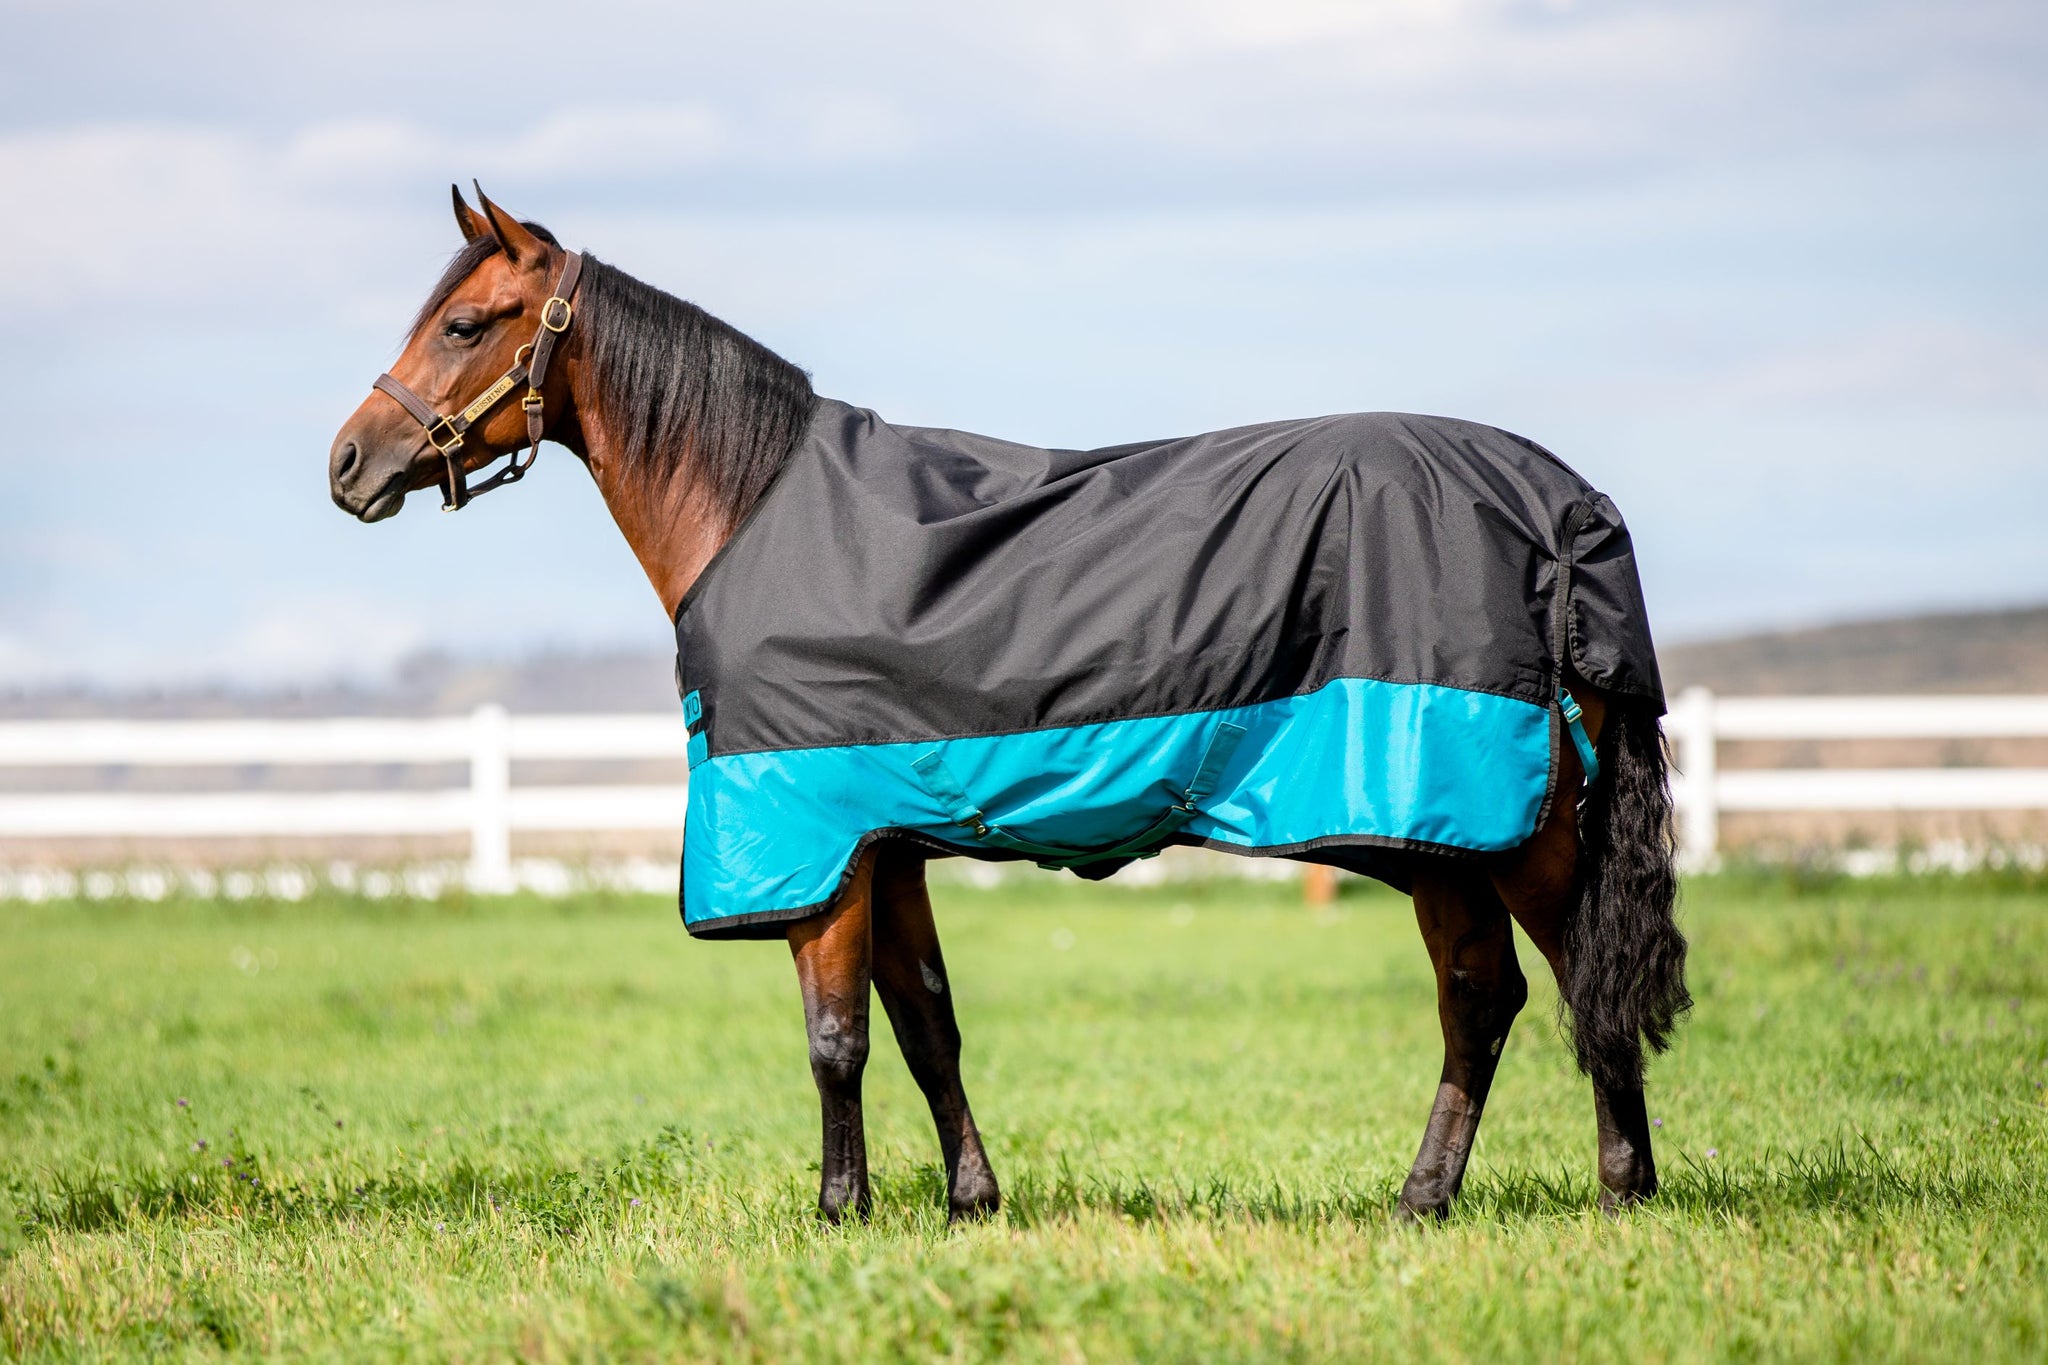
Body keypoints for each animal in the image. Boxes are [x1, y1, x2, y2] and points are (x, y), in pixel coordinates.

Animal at [328, 185, 1689, 1224]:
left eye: (466, 322)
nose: (348, 464)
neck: (758, 510)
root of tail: (1562, 504)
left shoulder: (818, 840)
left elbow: (835, 1038)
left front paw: (840, 1212)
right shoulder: (887, 845)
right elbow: (926, 1026)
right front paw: (968, 1200)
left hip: (1518, 827)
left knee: (1575, 983)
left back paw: (1618, 1189)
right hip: (1435, 839)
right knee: (1482, 997)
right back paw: (1425, 1197)